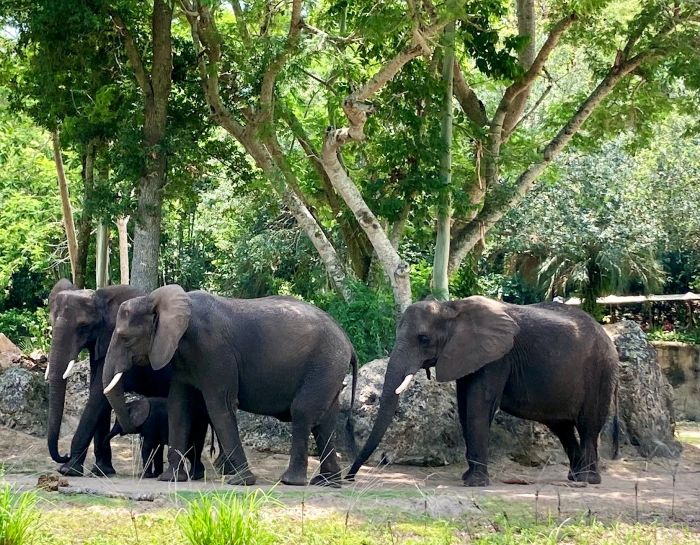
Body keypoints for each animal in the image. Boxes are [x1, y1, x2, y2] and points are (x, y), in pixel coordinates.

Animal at [46, 279, 207, 478]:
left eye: (83, 326)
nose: (63, 455)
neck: (101, 297)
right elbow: (101, 394)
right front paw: (102, 471)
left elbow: (98, 396)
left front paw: (68, 470)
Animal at [103, 284, 357, 487]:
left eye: (125, 337)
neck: (156, 298)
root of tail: (348, 341)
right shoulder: (182, 360)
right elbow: (179, 407)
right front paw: (171, 479)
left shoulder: (214, 351)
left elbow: (220, 406)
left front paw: (242, 482)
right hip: (329, 369)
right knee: (325, 420)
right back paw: (327, 482)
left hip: (324, 364)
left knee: (303, 412)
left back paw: (291, 481)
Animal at [346, 296, 618, 486]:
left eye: (423, 339)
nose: (350, 478)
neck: (451, 308)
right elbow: (464, 405)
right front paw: (469, 477)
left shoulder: (497, 357)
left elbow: (478, 404)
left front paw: (474, 483)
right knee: (562, 427)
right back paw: (575, 477)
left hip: (600, 371)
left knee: (588, 425)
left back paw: (588, 480)